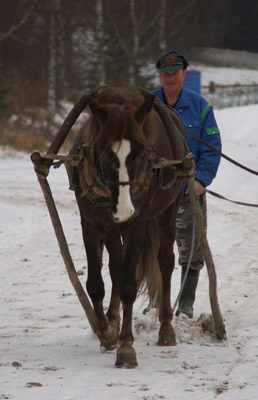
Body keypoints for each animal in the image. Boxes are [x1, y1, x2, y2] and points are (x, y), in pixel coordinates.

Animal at [68, 83, 189, 368]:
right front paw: (106, 331)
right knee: (115, 264)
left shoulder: (136, 225)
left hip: (167, 214)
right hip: (113, 229)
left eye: (140, 152)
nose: (124, 210)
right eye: (103, 152)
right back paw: (113, 318)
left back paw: (166, 328)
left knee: (165, 262)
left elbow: (128, 285)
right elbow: (95, 285)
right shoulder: (91, 225)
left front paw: (125, 346)